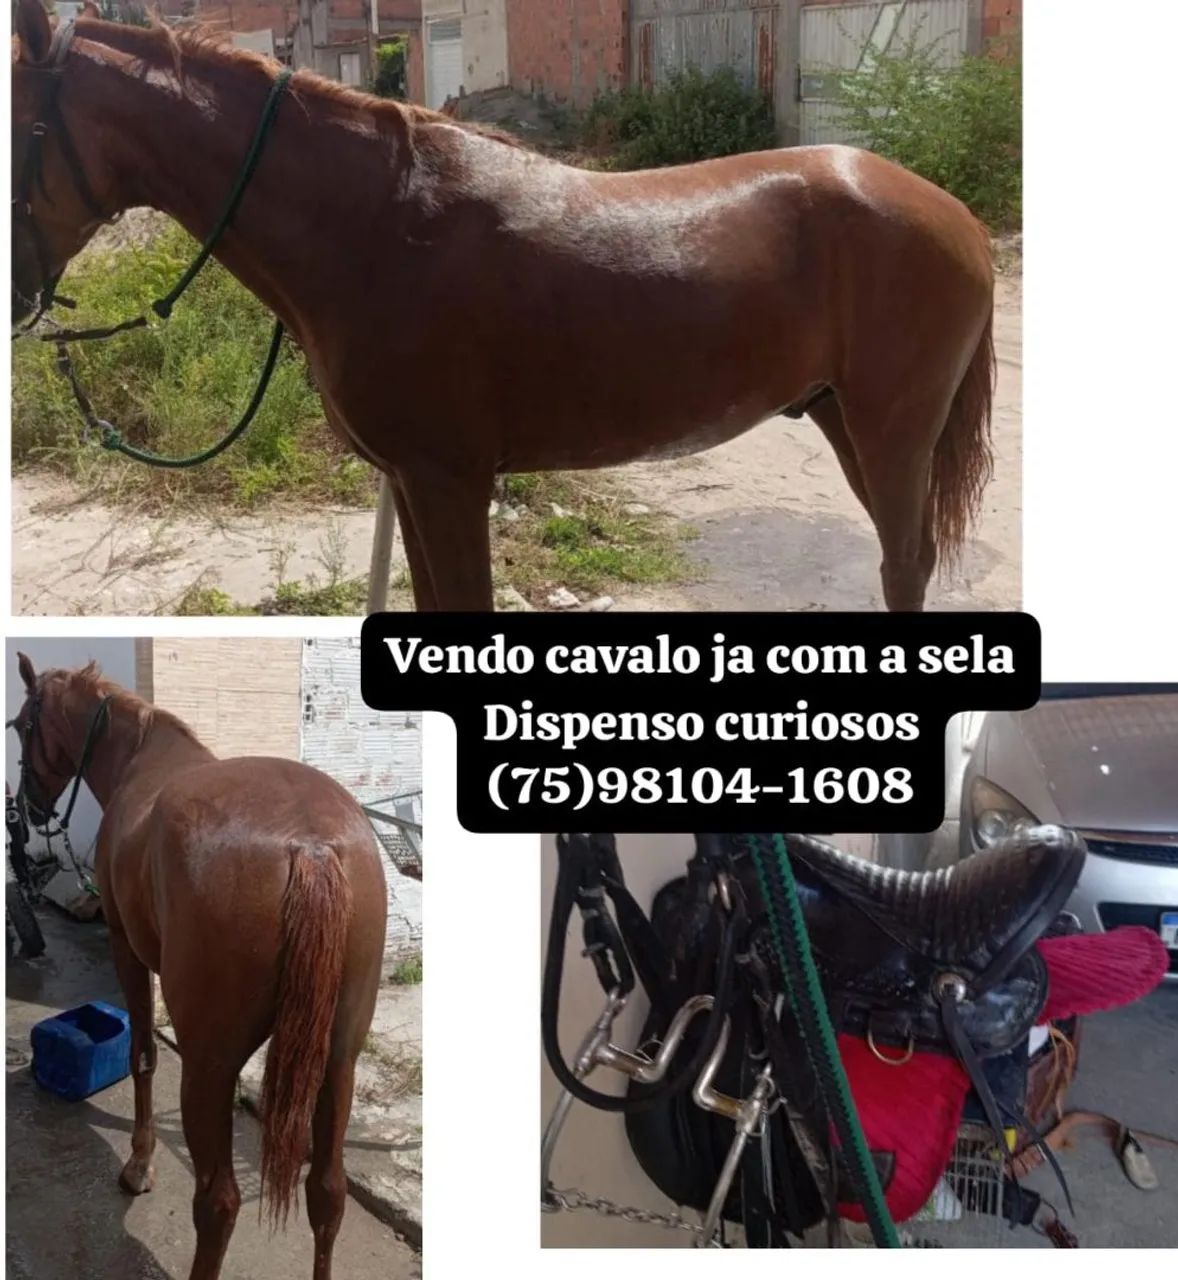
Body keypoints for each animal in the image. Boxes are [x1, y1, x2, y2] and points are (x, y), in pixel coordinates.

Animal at [10, 653, 388, 1280]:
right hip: (340, 1059)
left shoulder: (126, 948)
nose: (27, 813)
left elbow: (142, 1054)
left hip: (210, 1067)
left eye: (19, 726)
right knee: (327, 1191)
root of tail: (309, 845)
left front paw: (139, 1165)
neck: (140, 755)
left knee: (219, 1202)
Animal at [11, 2, 996, 612]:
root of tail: (959, 217)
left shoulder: (451, 481)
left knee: (904, 569)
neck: (376, 224)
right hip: (842, 421)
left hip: (891, 433)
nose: (17, 300)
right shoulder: (413, 482)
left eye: (14, 129)